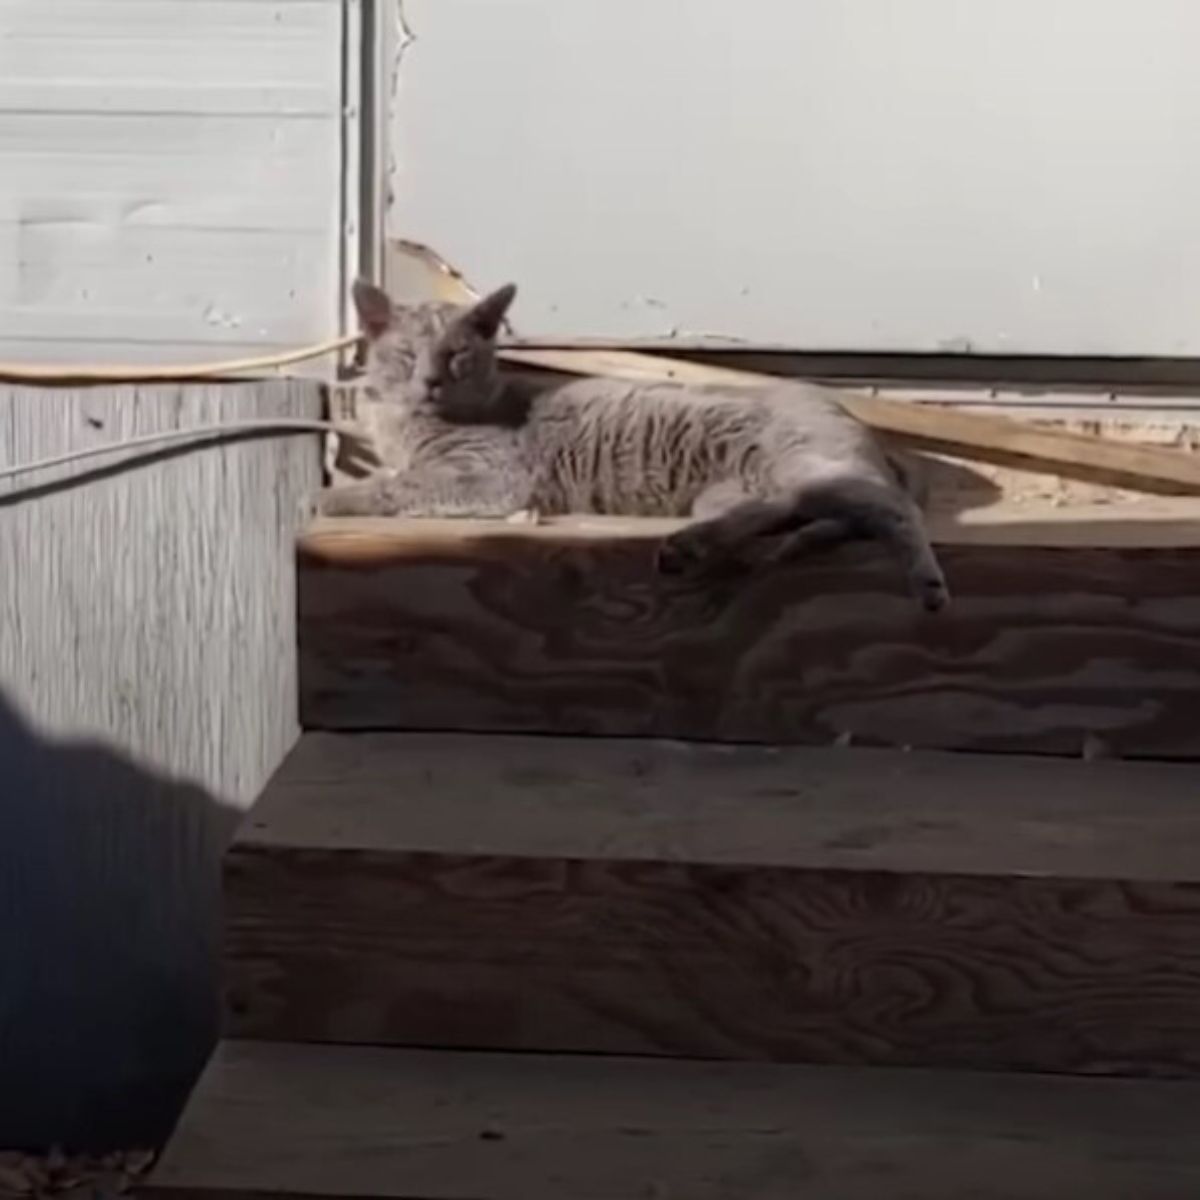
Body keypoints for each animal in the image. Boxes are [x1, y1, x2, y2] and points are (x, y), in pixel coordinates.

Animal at [324, 279, 950, 609]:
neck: (408, 424)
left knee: (894, 511)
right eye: (407, 355)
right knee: (782, 511)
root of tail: (859, 423)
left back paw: (928, 584)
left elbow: (404, 484)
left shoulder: (495, 476)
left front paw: (337, 497)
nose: (430, 381)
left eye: (457, 355)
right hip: (739, 489)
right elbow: (400, 476)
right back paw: (691, 546)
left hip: (813, 464)